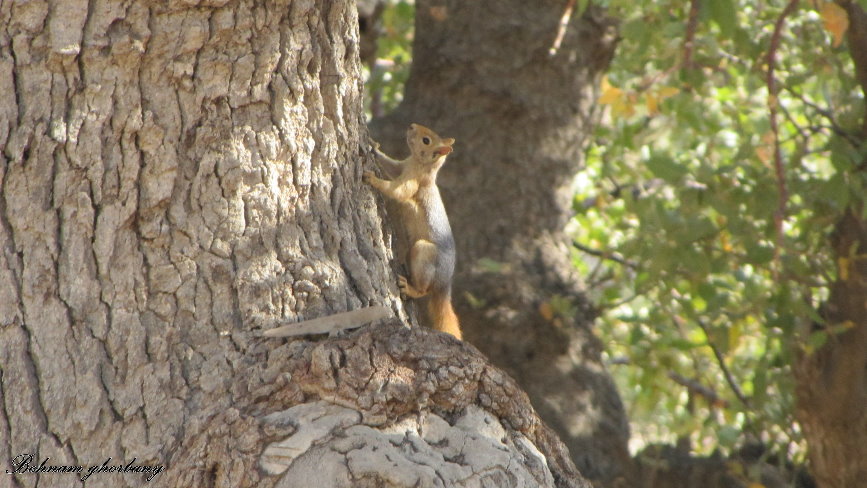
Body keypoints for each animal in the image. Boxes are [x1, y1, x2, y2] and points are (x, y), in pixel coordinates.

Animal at [363, 123, 462, 340]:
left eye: (426, 140)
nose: (411, 126)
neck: (420, 164)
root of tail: (444, 284)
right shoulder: (402, 167)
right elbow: (391, 165)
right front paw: (373, 146)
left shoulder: (413, 180)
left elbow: (398, 191)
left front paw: (373, 179)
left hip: (424, 253)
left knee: (424, 290)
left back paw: (410, 288)